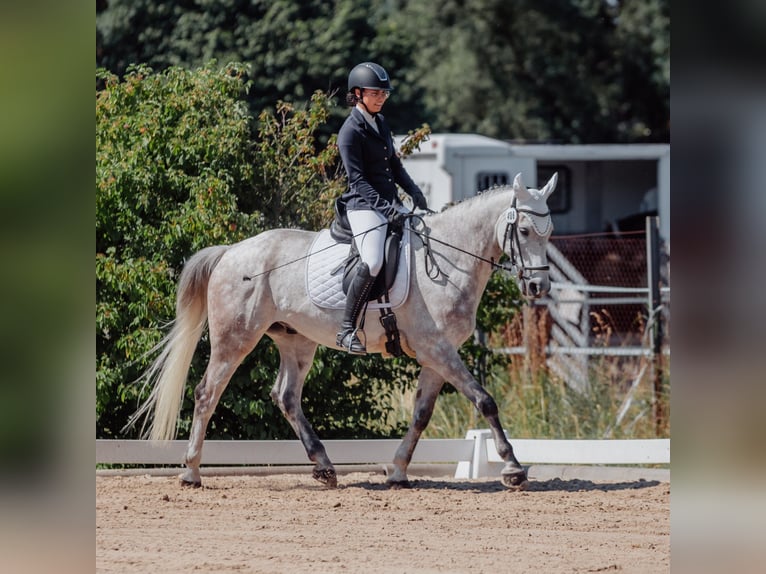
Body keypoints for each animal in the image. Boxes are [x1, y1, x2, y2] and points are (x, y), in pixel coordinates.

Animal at [129, 171, 556, 490]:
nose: (539, 287)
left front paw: (397, 471)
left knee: (286, 396)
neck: (449, 258)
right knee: (207, 393)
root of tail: (230, 251)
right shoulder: (437, 349)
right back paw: (190, 472)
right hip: (235, 338)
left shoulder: (437, 354)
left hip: (295, 340)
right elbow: (485, 401)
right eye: (524, 232)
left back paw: (324, 467)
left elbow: (421, 414)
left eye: (549, 232)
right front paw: (513, 468)